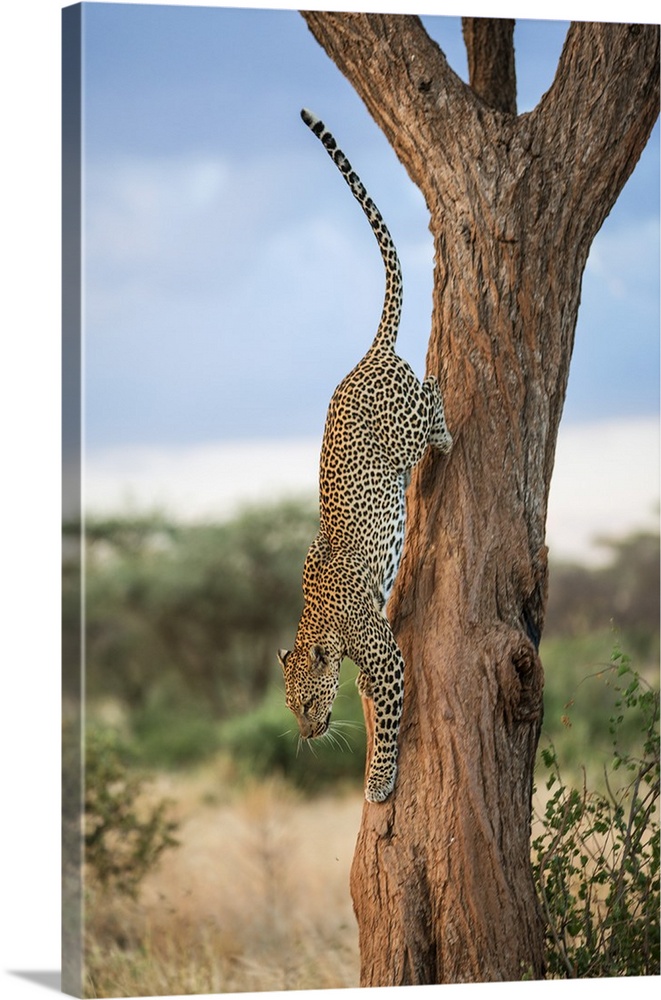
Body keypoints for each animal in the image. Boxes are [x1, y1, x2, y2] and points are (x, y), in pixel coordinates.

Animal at [278, 109, 454, 800]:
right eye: (290, 706)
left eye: (307, 701)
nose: (305, 735)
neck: (318, 622)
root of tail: (366, 356)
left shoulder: (386, 658)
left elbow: (386, 722)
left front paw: (379, 782)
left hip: (407, 423)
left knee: (431, 393)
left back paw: (446, 428)